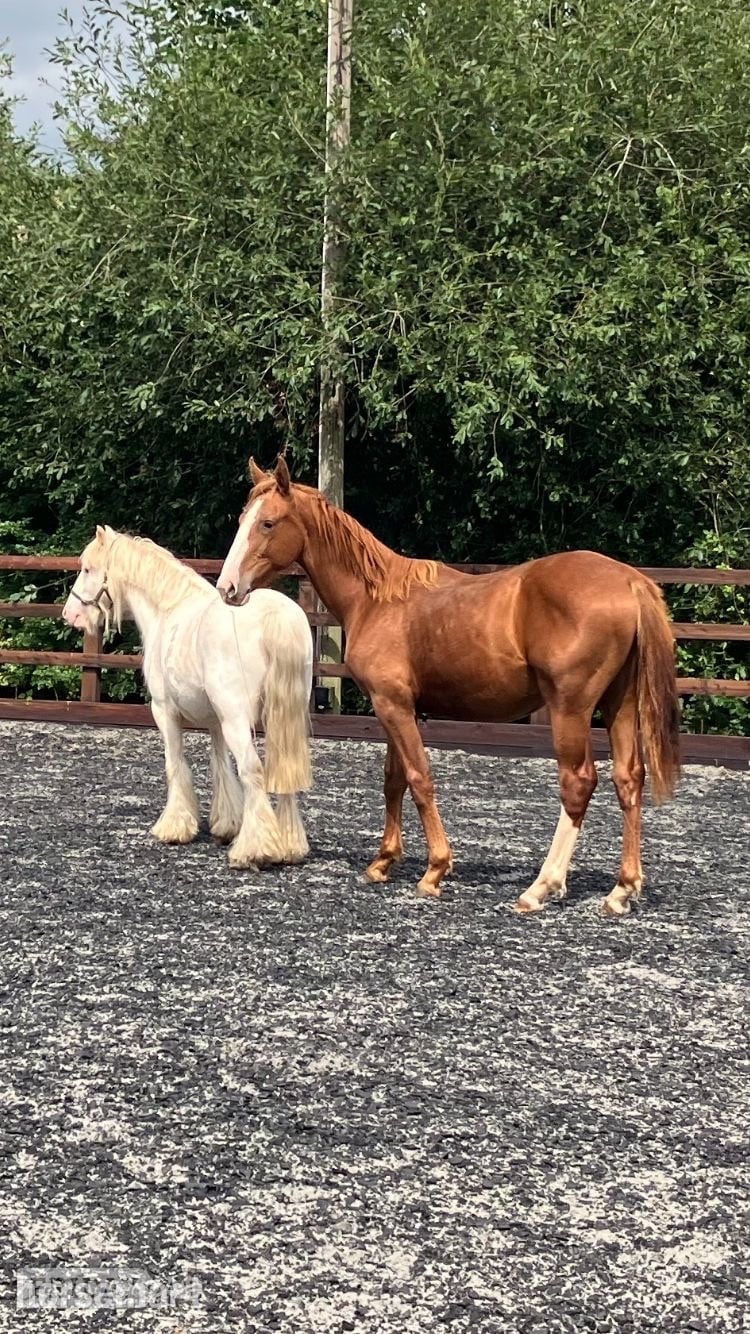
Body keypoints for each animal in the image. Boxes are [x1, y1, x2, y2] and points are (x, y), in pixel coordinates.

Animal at [63, 525, 312, 868]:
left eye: (88, 569)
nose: (69, 614)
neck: (168, 610)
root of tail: (275, 614)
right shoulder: (215, 721)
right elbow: (220, 765)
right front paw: (226, 825)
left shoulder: (164, 712)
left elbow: (176, 764)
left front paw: (174, 828)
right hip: (283, 718)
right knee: (284, 772)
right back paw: (288, 847)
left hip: (238, 721)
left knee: (253, 771)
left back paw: (254, 850)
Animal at [217, 457, 680, 916]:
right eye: (243, 519)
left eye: (268, 523)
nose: (227, 588)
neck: (376, 600)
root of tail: (628, 581)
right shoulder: (395, 707)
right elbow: (394, 780)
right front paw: (383, 862)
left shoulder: (393, 706)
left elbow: (419, 778)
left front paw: (435, 870)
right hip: (620, 705)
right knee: (628, 779)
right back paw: (621, 890)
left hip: (571, 708)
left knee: (578, 783)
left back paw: (541, 887)